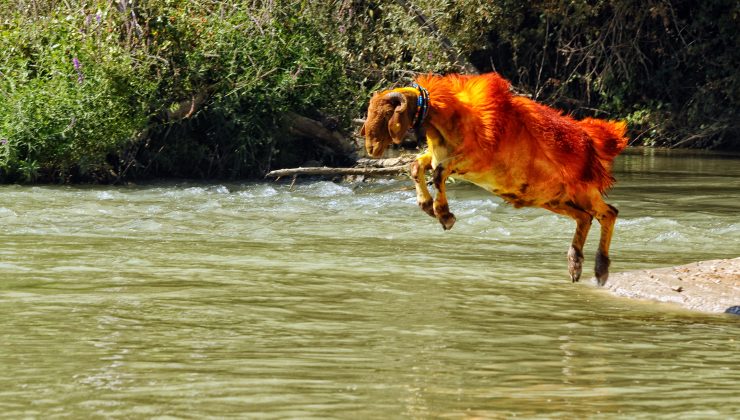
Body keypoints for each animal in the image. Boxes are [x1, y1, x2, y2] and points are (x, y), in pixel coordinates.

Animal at [362, 74, 628, 288]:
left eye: (384, 115)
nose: (371, 148)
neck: (452, 118)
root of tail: (592, 144)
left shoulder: (474, 162)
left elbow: (438, 173)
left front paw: (445, 215)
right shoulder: (440, 155)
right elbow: (416, 165)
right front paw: (427, 206)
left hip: (581, 192)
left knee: (608, 213)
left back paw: (600, 270)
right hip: (552, 199)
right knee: (585, 218)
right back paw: (575, 264)